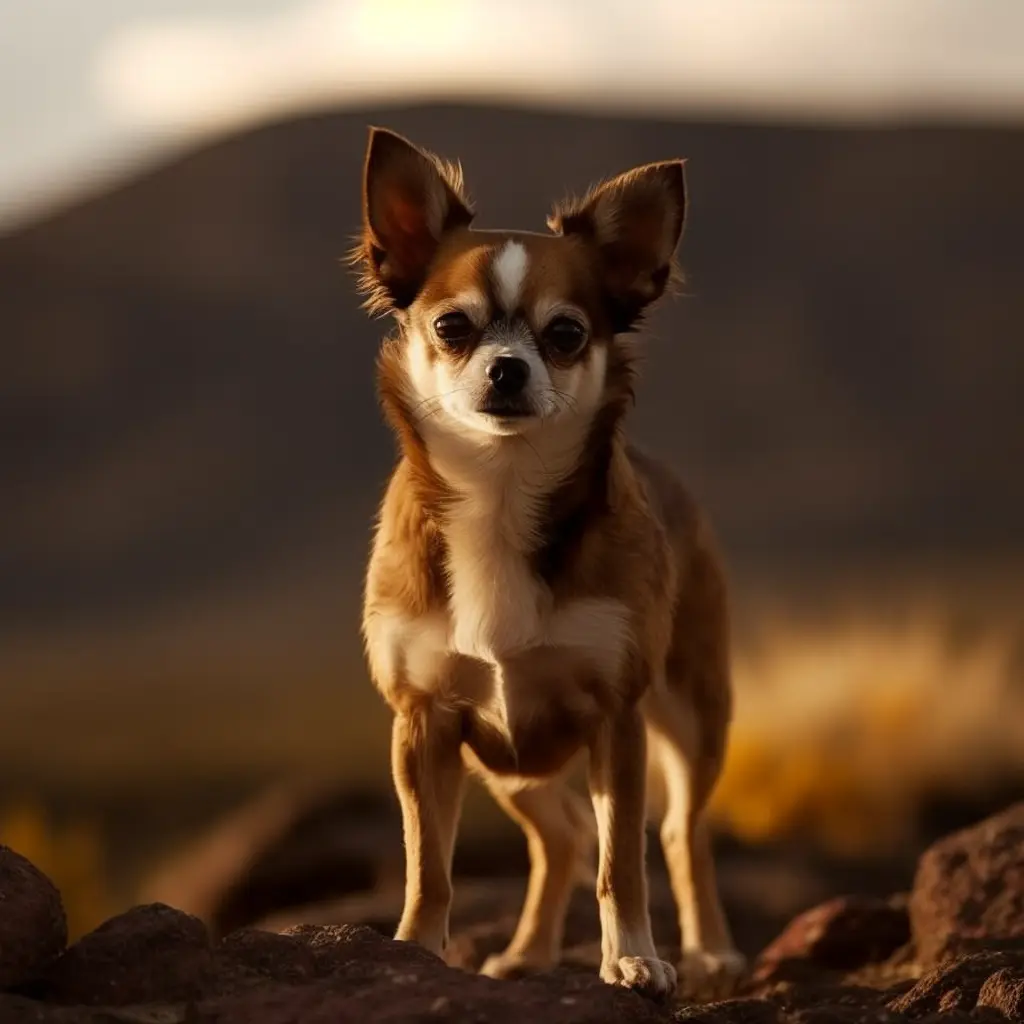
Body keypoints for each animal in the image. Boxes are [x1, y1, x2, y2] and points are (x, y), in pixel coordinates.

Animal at [352, 128, 745, 999]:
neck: (502, 494)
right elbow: (429, 866)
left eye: (566, 334)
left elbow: (622, 860)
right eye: (452, 327)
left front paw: (633, 957)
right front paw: (415, 953)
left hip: (693, 714)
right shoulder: (422, 723)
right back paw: (529, 953)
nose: (508, 367)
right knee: (561, 834)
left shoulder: (617, 716)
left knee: (681, 831)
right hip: (506, 761)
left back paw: (710, 950)